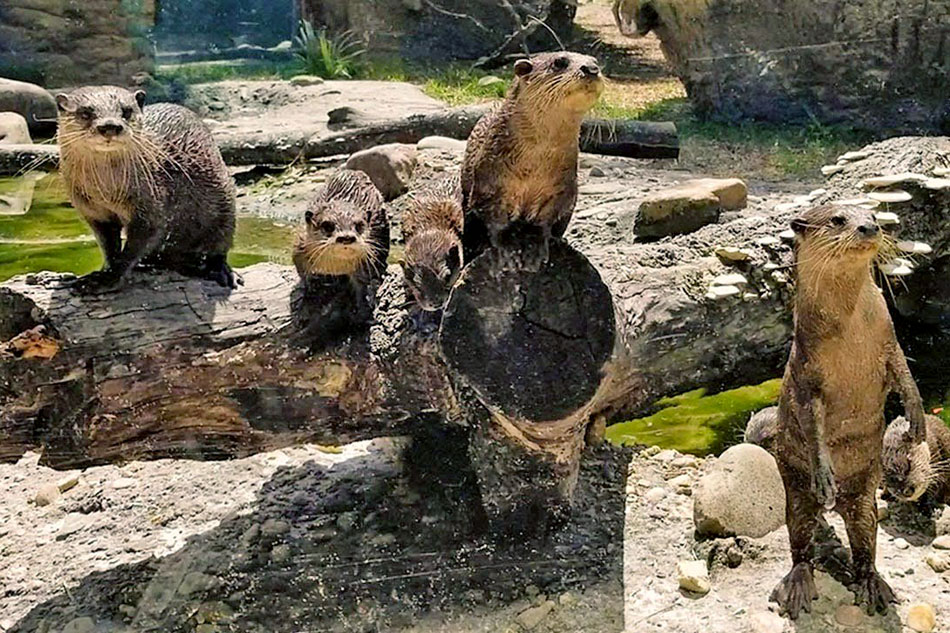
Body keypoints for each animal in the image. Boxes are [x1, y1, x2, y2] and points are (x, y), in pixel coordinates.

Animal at [56, 86, 237, 294]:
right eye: (85, 113)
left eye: (127, 111)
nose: (110, 126)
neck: (106, 193)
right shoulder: (94, 213)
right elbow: (108, 245)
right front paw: (100, 272)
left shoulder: (151, 203)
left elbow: (138, 243)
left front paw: (109, 279)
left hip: (224, 202)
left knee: (220, 242)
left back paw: (220, 269)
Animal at [460, 51, 603, 270]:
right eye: (559, 62)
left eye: (596, 62)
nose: (591, 69)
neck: (533, 167)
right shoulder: (488, 183)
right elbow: (494, 219)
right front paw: (507, 246)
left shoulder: (562, 189)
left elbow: (546, 219)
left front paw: (536, 244)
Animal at [769, 203, 926, 619]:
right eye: (838, 219)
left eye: (872, 213)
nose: (869, 227)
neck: (852, 330)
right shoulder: (807, 373)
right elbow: (813, 424)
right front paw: (825, 474)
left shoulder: (889, 339)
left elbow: (907, 378)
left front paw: (916, 423)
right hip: (794, 488)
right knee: (800, 542)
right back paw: (798, 585)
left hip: (865, 499)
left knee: (864, 540)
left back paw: (873, 585)